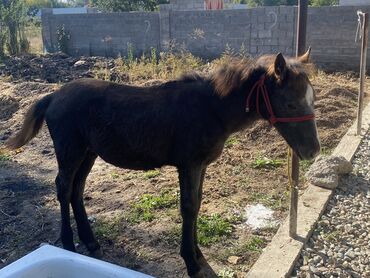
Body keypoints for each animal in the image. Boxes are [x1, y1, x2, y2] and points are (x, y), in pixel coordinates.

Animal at [5, 51, 320, 276]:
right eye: (290, 103)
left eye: (312, 98)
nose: (313, 151)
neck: (211, 109)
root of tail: (53, 95)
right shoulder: (189, 164)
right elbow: (188, 208)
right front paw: (191, 262)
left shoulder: (201, 165)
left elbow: (197, 204)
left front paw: (198, 254)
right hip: (69, 150)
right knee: (62, 188)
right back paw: (69, 244)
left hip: (88, 153)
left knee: (77, 190)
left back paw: (90, 241)